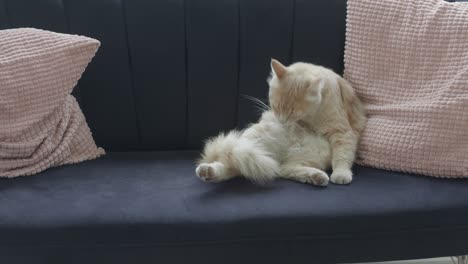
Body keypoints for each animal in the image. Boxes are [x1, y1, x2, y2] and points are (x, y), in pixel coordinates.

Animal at [194, 58, 366, 186]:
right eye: (275, 107)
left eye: (293, 113)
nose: (282, 121)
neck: (311, 118)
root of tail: (278, 155)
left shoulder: (343, 132)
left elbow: (342, 155)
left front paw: (341, 173)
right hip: (249, 146)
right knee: (231, 161)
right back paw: (208, 171)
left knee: (280, 170)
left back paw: (316, 176)